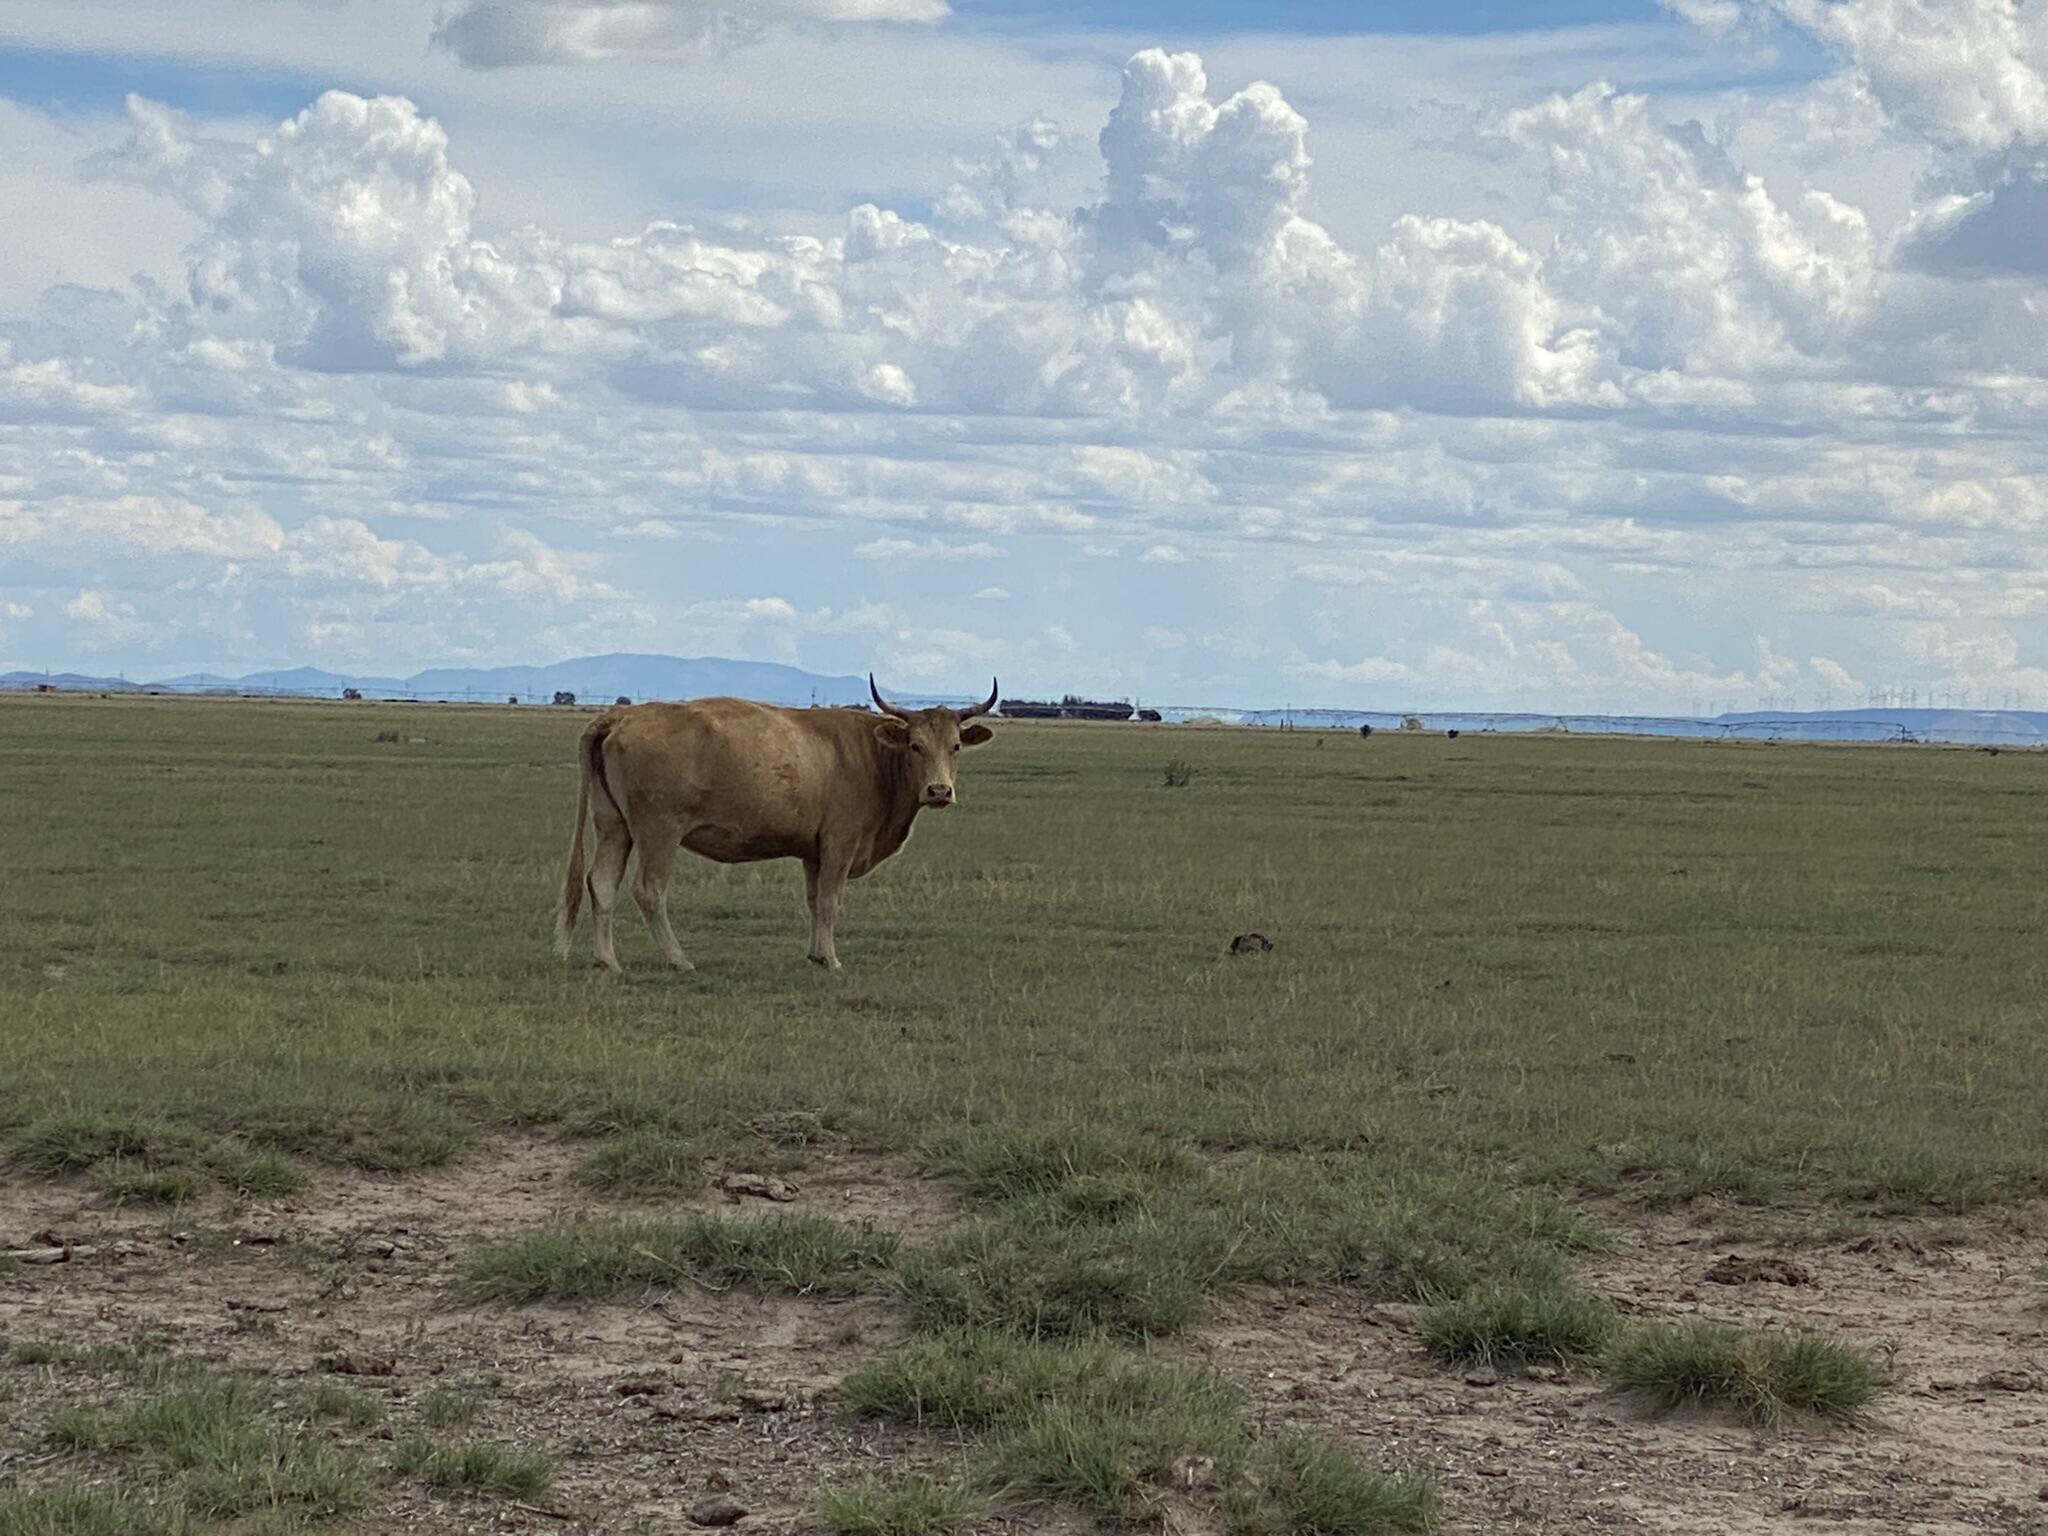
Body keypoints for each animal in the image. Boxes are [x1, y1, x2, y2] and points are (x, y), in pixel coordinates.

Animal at [552, 675, 999, 966]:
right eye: (915, 745)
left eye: (956, 746)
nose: (939, 791)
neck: (871, 757)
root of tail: (620, 718)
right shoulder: (839, 845)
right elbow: (830, 901)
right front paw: (832, 959)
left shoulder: (814, 854)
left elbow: (814, 901)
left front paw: (816, 954)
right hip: (658, 832)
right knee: (648, 891)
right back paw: (678, 959)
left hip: (614, 827)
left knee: (601, 884)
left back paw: (608, 962)